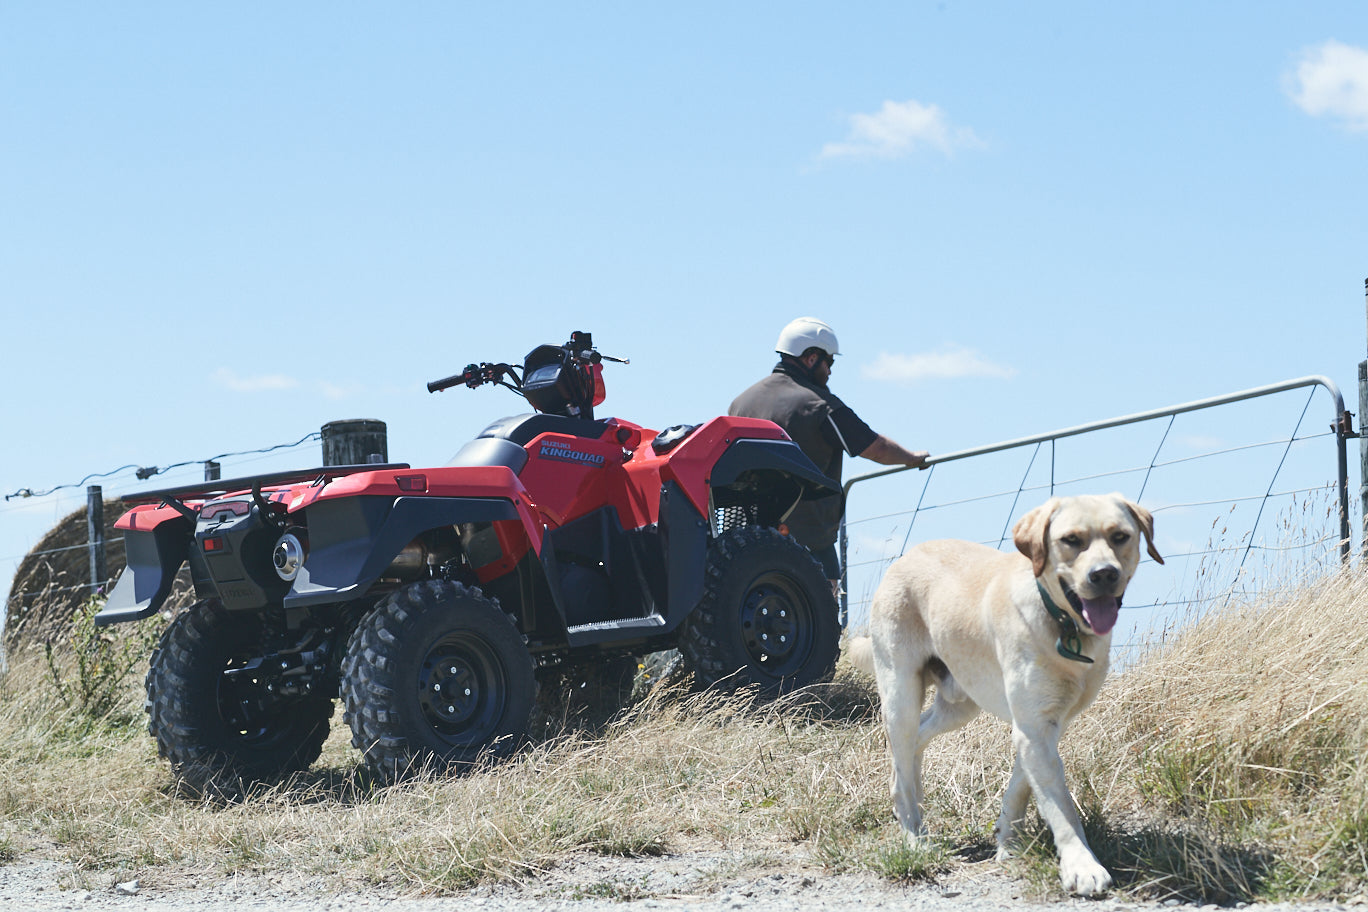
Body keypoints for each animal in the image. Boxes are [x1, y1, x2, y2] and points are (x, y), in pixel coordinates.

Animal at [848, 494, 1160, 896]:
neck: (1063, 625)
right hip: (900, 694)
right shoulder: (1034, 728)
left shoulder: (1046, 725)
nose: (1104, 574)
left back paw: (915, 796)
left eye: (1120, 536)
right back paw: (914, 836)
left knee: (915, 743)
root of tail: (908, 554)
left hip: (959, 704)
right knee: (901, 758)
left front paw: (1008, 841)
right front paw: (1082, 865)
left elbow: (1022, 787)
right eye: (1071, 540)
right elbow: (1062, 806)